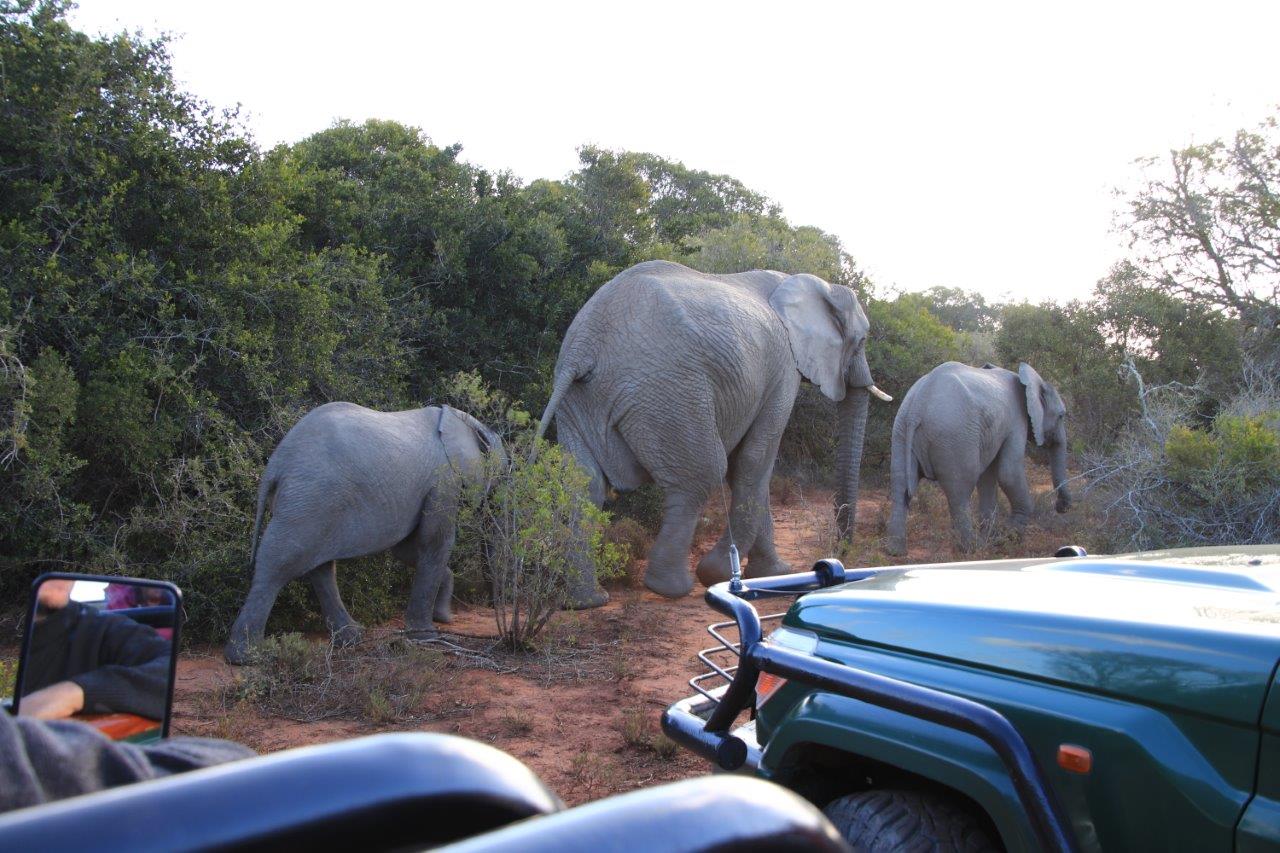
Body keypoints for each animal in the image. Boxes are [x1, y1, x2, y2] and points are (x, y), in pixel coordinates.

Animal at [222, 402, 501, 660]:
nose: (494, 605)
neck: (461, 419)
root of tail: (275, 465)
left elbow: (408, 549)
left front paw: (443, 616)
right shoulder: (443, 482)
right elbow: (434, 542)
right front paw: (427, 636)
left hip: (312, 505)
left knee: (320, 568)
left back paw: (352, 638)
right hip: (308, 500)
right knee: (278, 564)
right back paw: (246, 657)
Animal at [537, 258, 890, 596]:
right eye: (861, 341)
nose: (839, 553)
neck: (810, 283)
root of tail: (584, 347)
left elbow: (748, 470)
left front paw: (774, 572)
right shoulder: (783, 372)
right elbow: (753, 462)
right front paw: (720, 574)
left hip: (579, 400)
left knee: (585, 484)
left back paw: (588, 599)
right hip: (669, 390)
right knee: (702, 473)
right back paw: (672, 588)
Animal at [880, 358, 1070, 550]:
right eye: (1061, 416)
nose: (1060, 507)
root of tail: (917, 406)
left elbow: (988, 476)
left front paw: (993, 537)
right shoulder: (1017, 422)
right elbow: (1008, 473)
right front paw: (1007, 538)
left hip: (901, 430)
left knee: (900, 486)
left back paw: (895, 551)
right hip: (954, 437)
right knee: (960, 489)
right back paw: (971, 547)